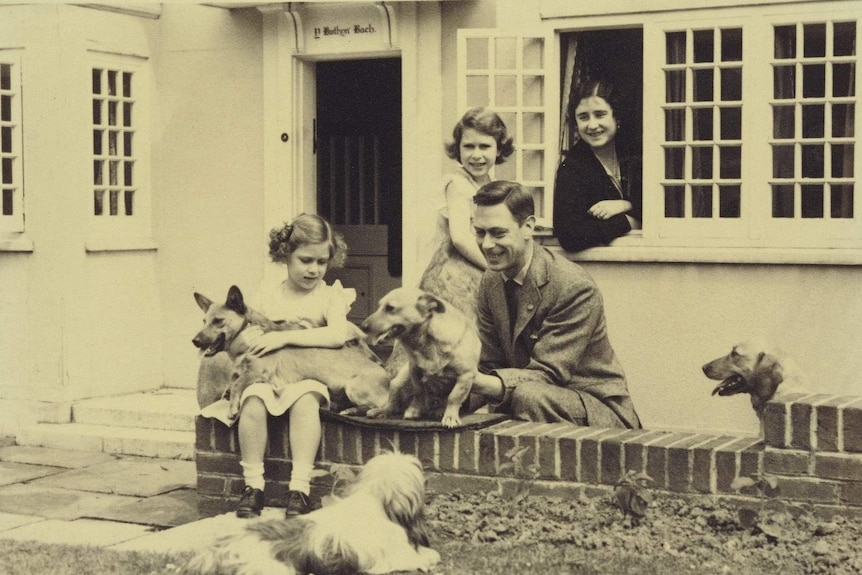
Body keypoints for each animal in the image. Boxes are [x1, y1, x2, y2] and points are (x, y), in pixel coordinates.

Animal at [194, 286, 390, 418]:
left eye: (218, 321)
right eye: (203, 321)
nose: (194, 341)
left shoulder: (258, 372)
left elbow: (237, 384)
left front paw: (233, 408)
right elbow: (234, 380)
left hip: (353, 387)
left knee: (380, 407)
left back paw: (355, 410)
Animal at [358, 288, 480, 428]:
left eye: (390, 308)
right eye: (379, 306)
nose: (362, 326)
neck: (426, 341)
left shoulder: (465, 375)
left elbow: (454, 397)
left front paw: (450, 416)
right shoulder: (414, 371)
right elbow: (419, 391)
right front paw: (415, 410)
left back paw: (439, 410)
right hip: (397, 382)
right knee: (393, 406)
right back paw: (381, 411)